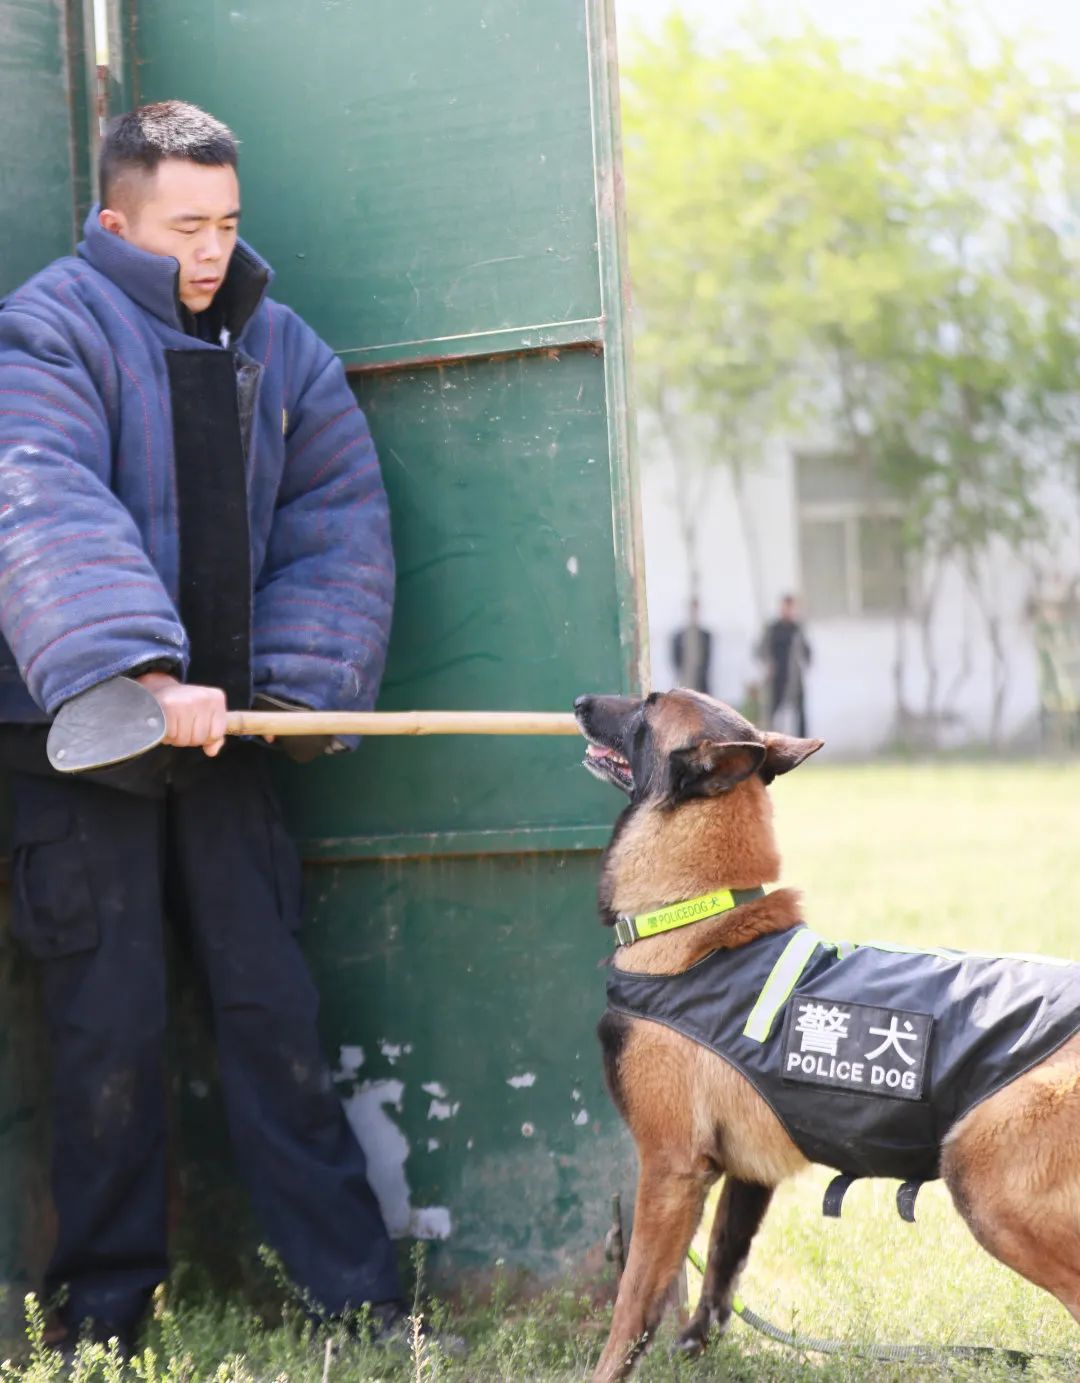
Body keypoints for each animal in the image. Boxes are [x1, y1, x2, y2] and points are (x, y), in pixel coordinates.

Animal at [578, 691, 1080, 1383]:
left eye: (648, 706)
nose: (577, 702)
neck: (695, 928)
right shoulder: (745, 1173)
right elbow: (722, 1270)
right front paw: (695, 1349)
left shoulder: (669, 1172)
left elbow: (633, 1303)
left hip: (988, 1184)